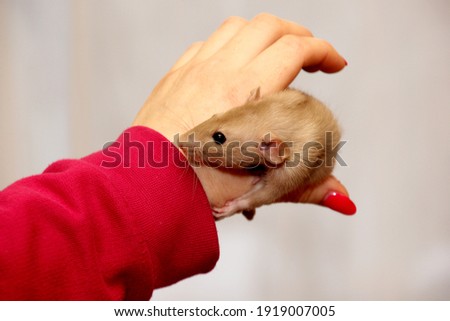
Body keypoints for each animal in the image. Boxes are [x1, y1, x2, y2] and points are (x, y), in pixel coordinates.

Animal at [176, 87, 342, 220]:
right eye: (214, 115)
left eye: (219, 137)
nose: (179, 140)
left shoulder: (294, 169)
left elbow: (268, 194)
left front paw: (233, 207)